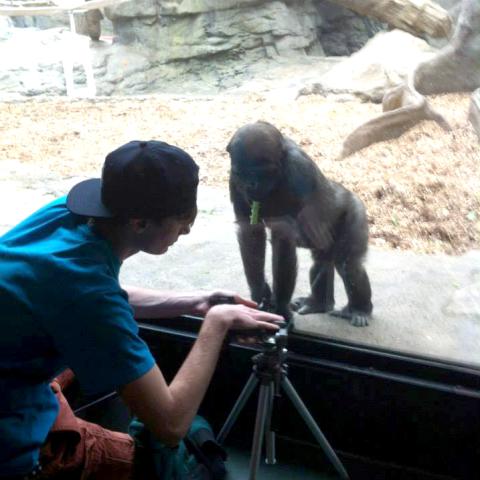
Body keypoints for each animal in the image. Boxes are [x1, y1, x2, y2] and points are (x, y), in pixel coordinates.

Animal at [227, 120, 374, 326]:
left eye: (263, 173)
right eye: (243, 173)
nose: (251, 185)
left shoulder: (299, 170)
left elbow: (283, 238)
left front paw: (280, 307)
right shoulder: (233, 178)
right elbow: (251, 233)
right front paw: (260, 292)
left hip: (356, 211)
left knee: (349, 266)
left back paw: (360, 310)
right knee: (321, 261)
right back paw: (318, 303)